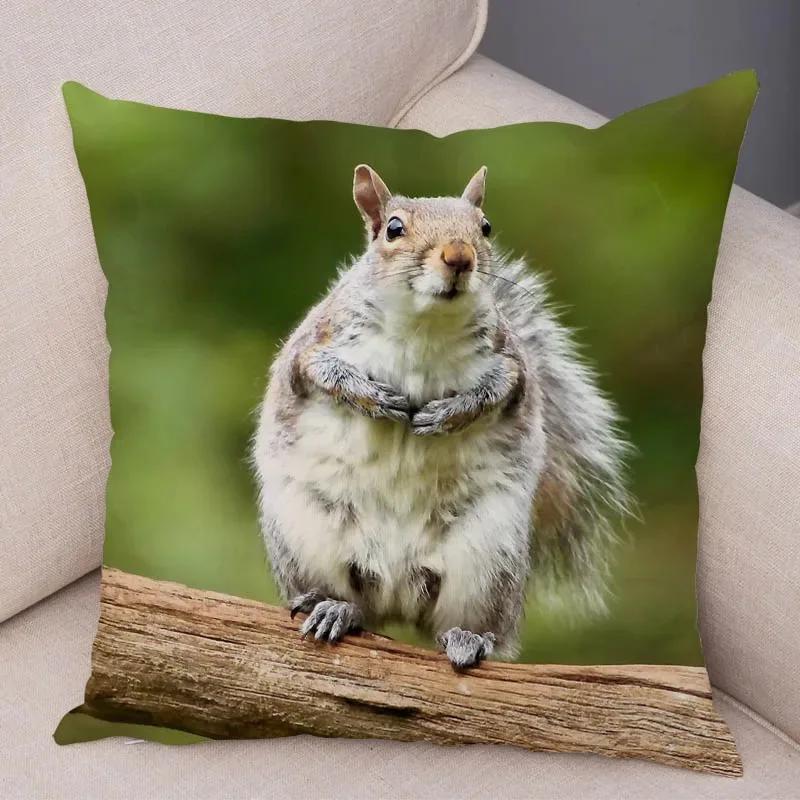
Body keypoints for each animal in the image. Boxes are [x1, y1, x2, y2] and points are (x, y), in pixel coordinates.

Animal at [252, 164, 630, 669]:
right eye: (393, 229)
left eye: (485, 227)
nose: (459, 257)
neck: (424, 326)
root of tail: (395, 592)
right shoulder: (314, 343)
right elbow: (319, 371)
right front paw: (374, 398)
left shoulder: (512, 365)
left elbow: (500, 390)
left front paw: (447, 414)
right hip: (306, 537)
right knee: (346, 601)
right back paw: (333, 608)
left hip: (489, 559)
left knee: (477, 625)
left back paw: (470, 639)